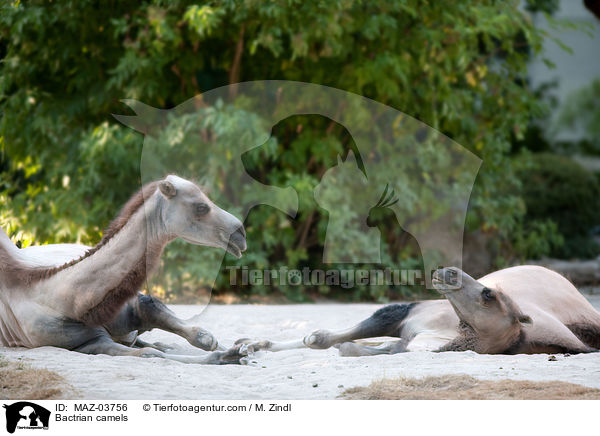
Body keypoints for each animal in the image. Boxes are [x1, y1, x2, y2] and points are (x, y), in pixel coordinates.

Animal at [0, 175, 248, 362]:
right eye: (201, 207)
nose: (240, 233)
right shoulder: (87, 343)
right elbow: (151, 354)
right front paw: (230, 355)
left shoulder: (136, 304)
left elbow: (203, 337)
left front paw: (243, 347)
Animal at [243, 264, 600, 356]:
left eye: (488, 295)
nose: (449, 272)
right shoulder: (404, 315)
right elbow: (323, 337)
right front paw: (249, 345)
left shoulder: (409, 338)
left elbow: (360, 346)